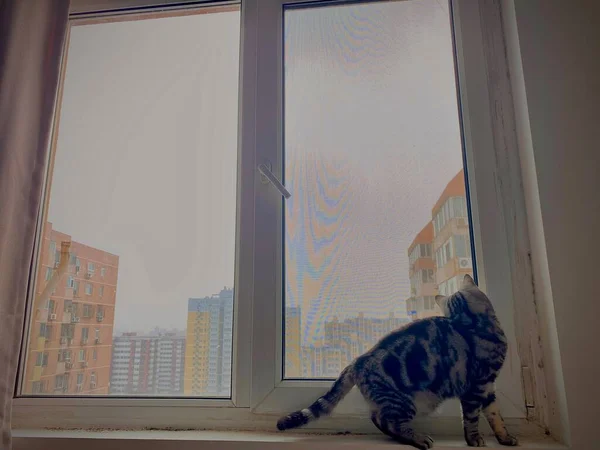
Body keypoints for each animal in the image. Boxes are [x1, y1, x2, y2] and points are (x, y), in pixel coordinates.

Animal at [276, 274, 516, 450]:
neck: (474, 322)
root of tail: (357, 360)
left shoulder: (488, 388)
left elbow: (495, 415)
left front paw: (505, 438)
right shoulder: (475, 388)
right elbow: (472, 418)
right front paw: (474, 439)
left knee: (379, 418)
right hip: (405, 401)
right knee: (388, 420)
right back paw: (418, 438)